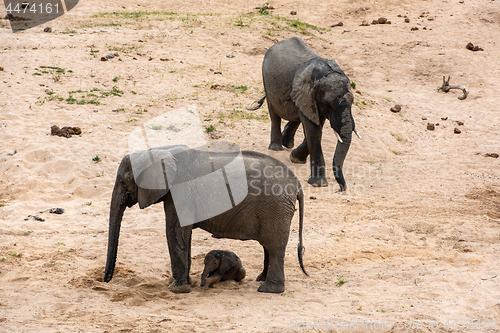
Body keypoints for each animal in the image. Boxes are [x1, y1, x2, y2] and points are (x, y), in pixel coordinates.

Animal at [103, 145, 306, 294]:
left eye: (122, 181)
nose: (105, 281)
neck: (157, 151)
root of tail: (297, 184)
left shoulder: (180, 193)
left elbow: (174, 233)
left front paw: (177, 289)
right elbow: (184, 236)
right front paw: (182, 283)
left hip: (275, 207)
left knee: (274, 246)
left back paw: (268, 290)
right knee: (268, 246)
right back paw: (261, 279)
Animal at [249, 36, 360, 189]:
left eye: (352, 101)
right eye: (327, 104)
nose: (341, 189)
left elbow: (315, 128)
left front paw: (295, 157)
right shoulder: (308, 96)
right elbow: (314, 130)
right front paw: (318, 183)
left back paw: (287, 144)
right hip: (267, 82)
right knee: (274, 115)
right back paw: (277, 148)